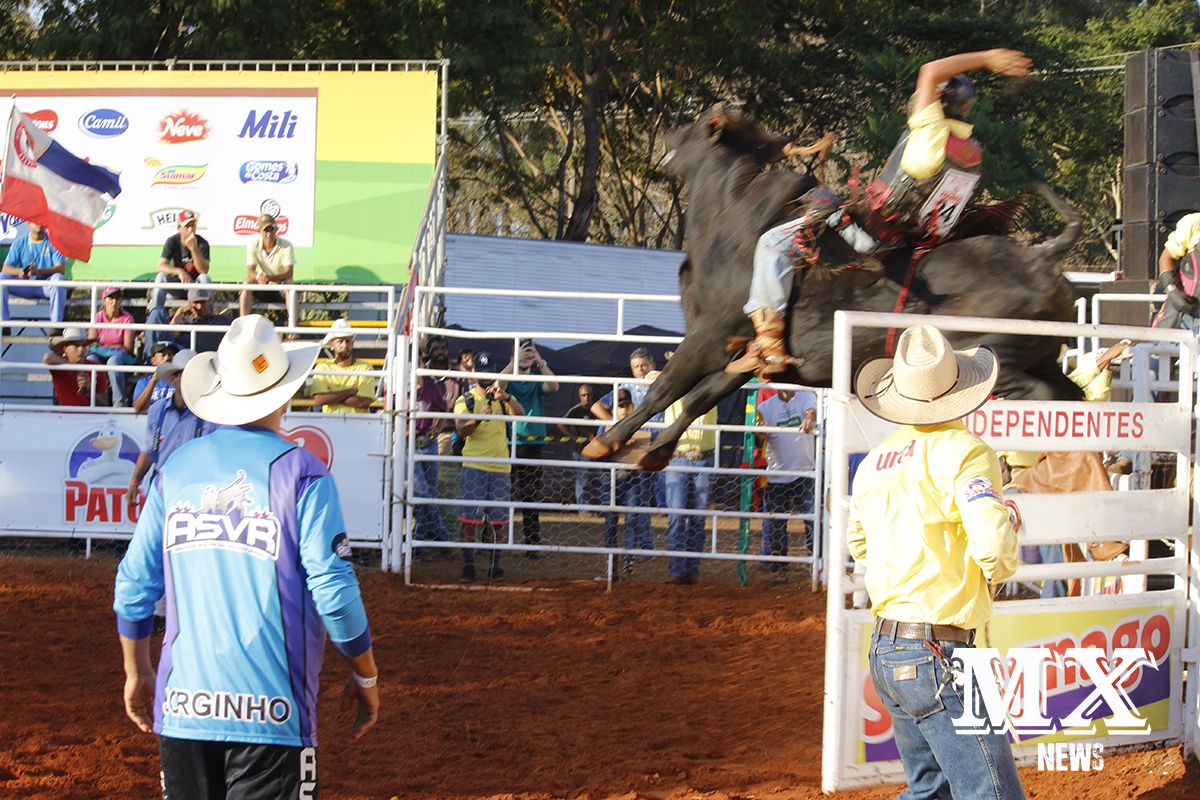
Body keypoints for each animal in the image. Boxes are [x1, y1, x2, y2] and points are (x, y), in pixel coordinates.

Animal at [582, 104, 1083, 472]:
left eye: (694, 127)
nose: (667, 129)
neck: (731, 220)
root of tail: (1039, 258)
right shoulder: (744, 352)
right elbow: (697, 399)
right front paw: (655, 453)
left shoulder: (709, 335)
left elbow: (667, 388)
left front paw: (608, 442)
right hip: (1043, 357)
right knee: (1073, 399)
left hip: (989, 357)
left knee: (1044, 398)